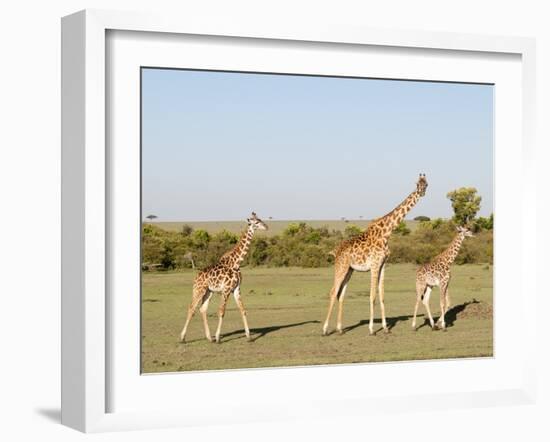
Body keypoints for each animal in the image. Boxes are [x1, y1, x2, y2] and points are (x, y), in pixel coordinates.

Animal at [180, 212, 268, 344]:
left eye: (260, 219)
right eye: (256, 222)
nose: (266, 226)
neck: (236, 263)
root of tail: (196, 277)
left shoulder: (236, 289)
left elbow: (243, 310)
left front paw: (249, 337)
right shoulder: (226, 289)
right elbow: (221, 312)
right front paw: (218, 338)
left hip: (208, 291)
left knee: (202, 309)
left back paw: (209, 337)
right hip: (199, 290)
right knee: (191, 308)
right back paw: (183, 338)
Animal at [324, 174, 432, 336]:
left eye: (426, 184)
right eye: (417, 184)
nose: (422, 192)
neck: (387, 233)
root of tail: (336, 250)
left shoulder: (383, 265)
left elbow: (381, 295)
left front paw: (386, 327)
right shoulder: (374, 265)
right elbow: (372, 295)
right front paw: (371, 329)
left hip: (349, 270)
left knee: (340, 294)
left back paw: (340, 329)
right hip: (341, 266)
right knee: (332, 292)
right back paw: (325, 329)